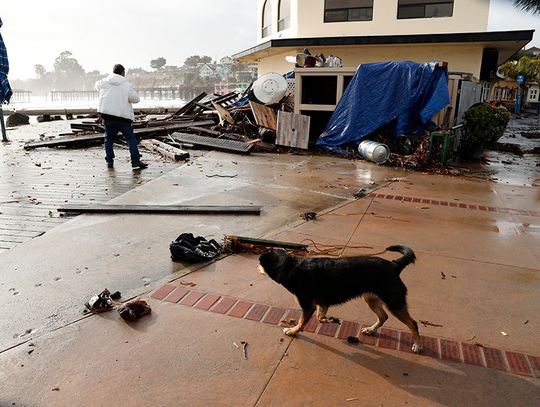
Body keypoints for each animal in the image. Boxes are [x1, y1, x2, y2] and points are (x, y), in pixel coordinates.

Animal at [256, 245, 422, 354]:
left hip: (394, 302)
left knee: (413, 323)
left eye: (260, 263)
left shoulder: (308, 306)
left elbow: (302, 322)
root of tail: (394, 264)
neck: (290, 266)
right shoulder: (322, 303)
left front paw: (292, 331)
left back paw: (418, 345)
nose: (256, 267)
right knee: (383, 316)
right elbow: (320, 317)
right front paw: (329, 320)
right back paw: (371, 329)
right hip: (372, 299)